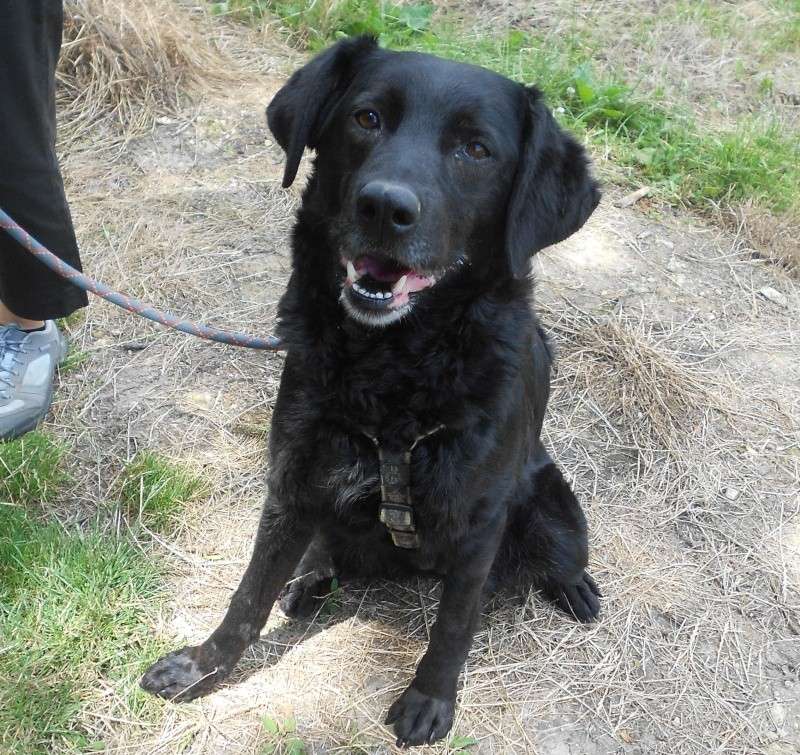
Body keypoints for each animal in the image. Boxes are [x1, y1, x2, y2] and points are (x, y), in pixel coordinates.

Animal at [142, 37, 600, 752]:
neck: (391, 372)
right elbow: (248, 595)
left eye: (476, 149)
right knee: (321, 554)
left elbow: (454, 625)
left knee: (555, 560)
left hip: (555, 521)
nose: (385, 206)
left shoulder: (478, 522)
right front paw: (201, 668)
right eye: (366, 118)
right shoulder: (295, 483)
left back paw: (576, 588)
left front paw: (429, 702)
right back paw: (311, 579)